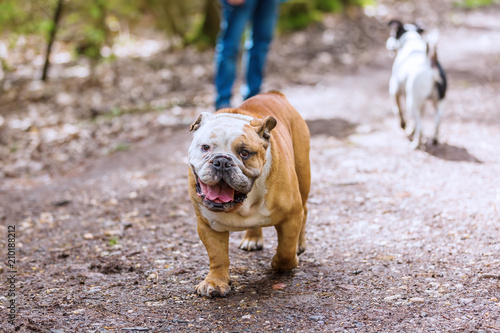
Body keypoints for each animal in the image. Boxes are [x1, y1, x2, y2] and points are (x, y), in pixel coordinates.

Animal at [384, 20, 448, 148]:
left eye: (393, 34)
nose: (388, 42)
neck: (411, 39)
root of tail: (430, 63)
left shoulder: (394, 91)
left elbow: (398, 110)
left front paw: (403, 125)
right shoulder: (421, 104)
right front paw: (411, 130)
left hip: (411, 104)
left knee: (421, 127)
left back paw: (416, 144)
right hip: (436, 103)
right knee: (436, 122)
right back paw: (434, 139)